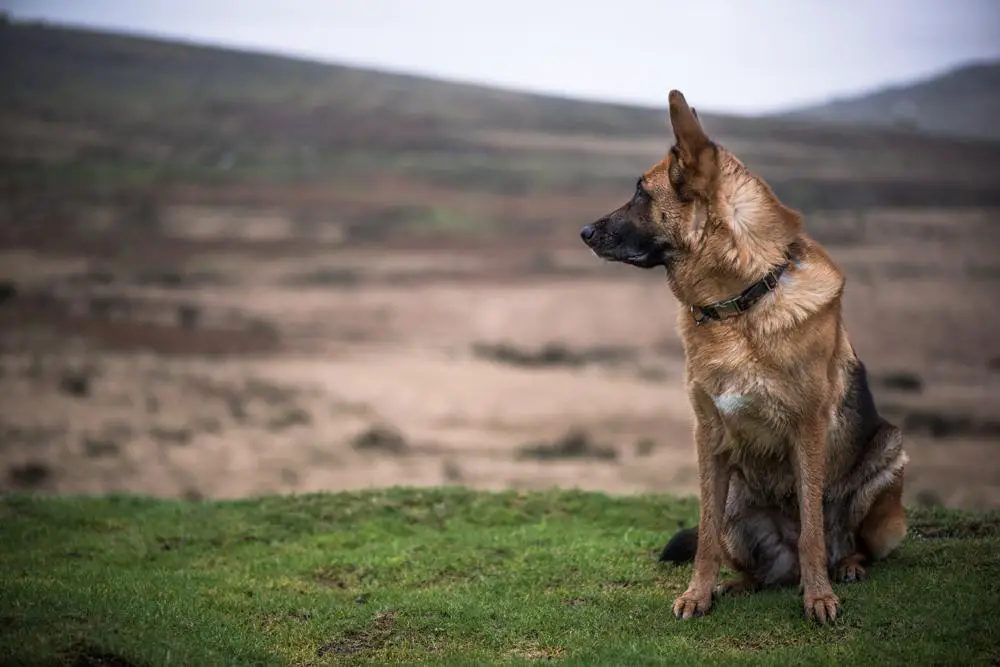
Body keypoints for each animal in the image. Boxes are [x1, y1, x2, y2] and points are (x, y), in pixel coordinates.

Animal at [584, 91, 912, 624]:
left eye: (641, 195)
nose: (584, 232)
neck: (738, 305)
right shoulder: (708, 436)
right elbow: (705, 534)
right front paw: (697, 594)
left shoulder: (808, 428)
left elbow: (814, 530)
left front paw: (819, 598)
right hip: (739, 504)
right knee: (753, 562)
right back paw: (738, 585)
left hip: (888, 459)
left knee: (844, 542)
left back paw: (845, 567)